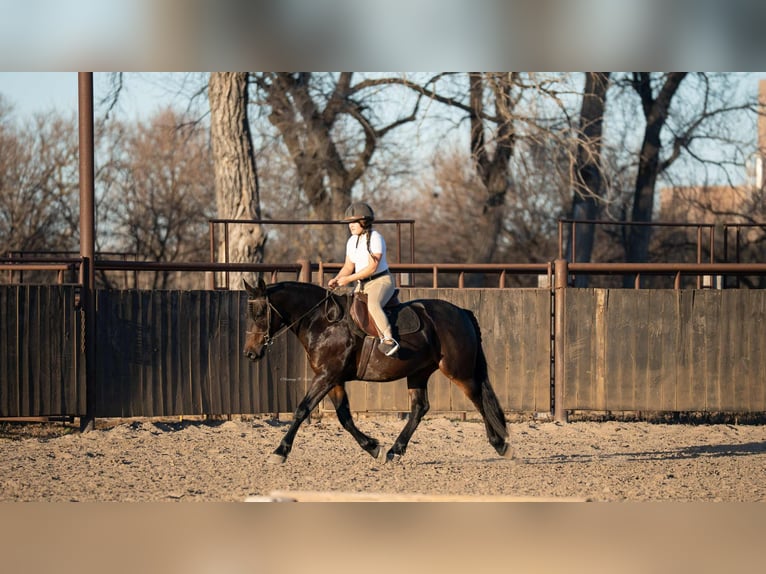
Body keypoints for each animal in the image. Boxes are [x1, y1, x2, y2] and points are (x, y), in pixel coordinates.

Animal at [243, 278, 512, 464]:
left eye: (261, 313)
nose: (250, 353)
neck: (323, 322)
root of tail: (461, 312)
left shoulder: (326, 377)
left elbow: (302, 410)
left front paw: (280, 451)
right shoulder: (334, 380)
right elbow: (345, 418)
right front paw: (374, 448)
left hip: (458, 372)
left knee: (478, 400)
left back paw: (500, 444)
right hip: (419, 373)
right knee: (420, 408)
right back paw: (395, 450)